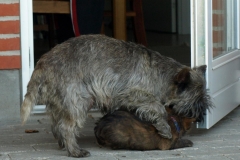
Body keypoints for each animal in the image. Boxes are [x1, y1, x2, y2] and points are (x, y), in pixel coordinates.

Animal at [20, 34, 212, 157]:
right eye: (195, 102)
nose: (201, 116)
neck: (162, 76)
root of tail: (43, 63)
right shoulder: (133, 94)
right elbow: (157, 107)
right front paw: (164, 128)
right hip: (78, 101)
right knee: (67, 127)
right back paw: (75, 151)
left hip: (60, 103)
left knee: (56, 124)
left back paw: (63, 145)